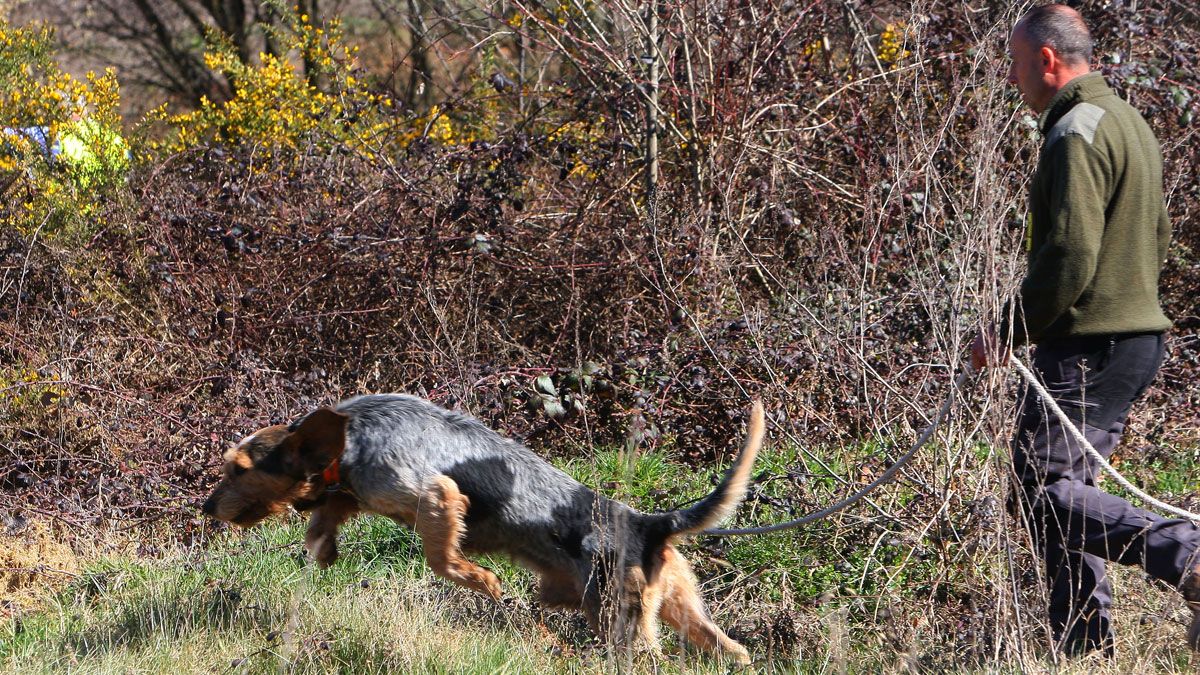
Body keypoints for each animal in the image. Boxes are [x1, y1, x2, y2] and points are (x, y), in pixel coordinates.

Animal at [201, 391, 763, 658]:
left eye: (239, 469)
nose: (206, 508)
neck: (353, 435)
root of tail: (648, 524)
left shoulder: (435, 495)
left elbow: (442, 557)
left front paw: (480, 579)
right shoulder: (350, 493)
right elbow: (324, 521)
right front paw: (323, 547)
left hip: (617, 619)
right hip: (677, 608)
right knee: (733, 650)